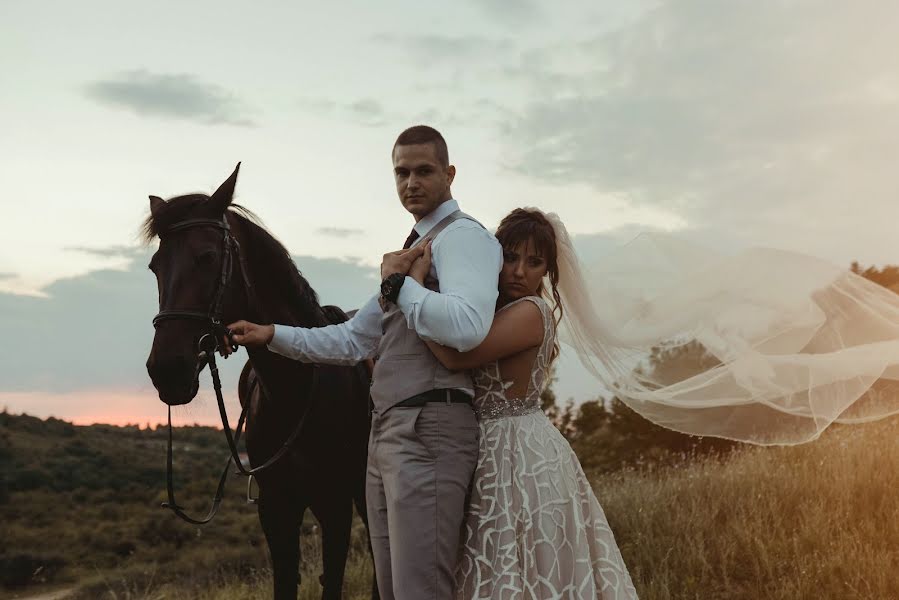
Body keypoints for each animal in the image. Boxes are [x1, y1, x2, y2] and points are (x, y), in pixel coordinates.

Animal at [144, 164, 376, 600]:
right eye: (155, 266)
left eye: (207, 256)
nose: (166, 369)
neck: (297, 389)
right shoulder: (276, 509)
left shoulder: (334, 504)